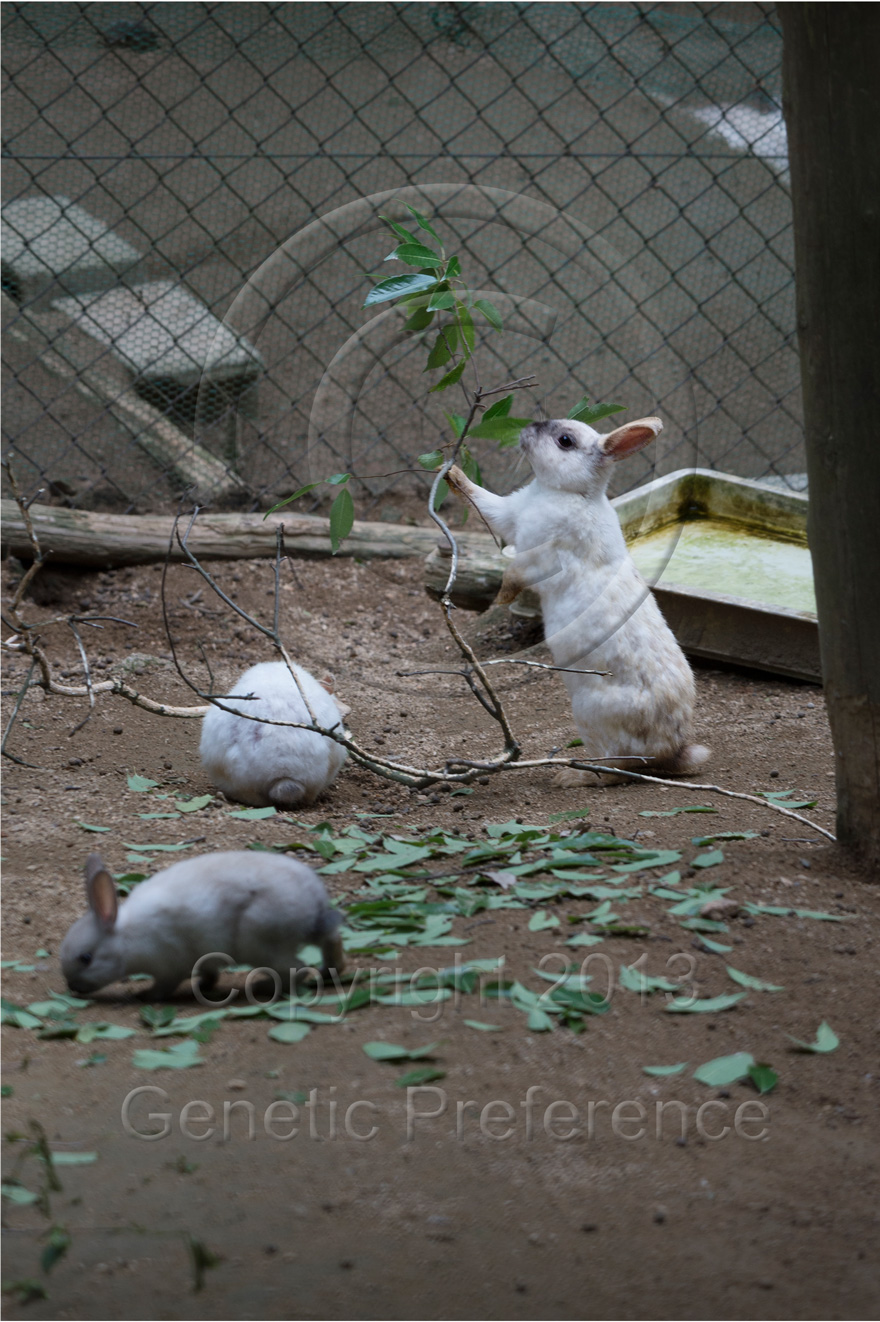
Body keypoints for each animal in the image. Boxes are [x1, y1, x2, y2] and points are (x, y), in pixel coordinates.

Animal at [60, 851, 343, 994]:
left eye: (86, 958)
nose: (73, 987)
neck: (126, 938)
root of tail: (313, 906)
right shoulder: (203, 959)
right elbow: (209, 972)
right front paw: (204, 985)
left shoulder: (169, 967)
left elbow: (164, 987)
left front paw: (146, 995)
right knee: (331, 937)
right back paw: (331, 971)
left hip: (259, 944)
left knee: (298, 969)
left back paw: (264, 986)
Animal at [446, 415, 708, 782]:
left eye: (565, 441)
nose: (528, 428)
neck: (567, 493)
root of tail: (669, 751)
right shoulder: (509, 515)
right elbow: (482, 499)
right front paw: (449, 471)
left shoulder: (537, 558)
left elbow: (513, 576)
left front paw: (499, 600)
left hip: (590, 717)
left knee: (614, 770)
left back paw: (570, 778)